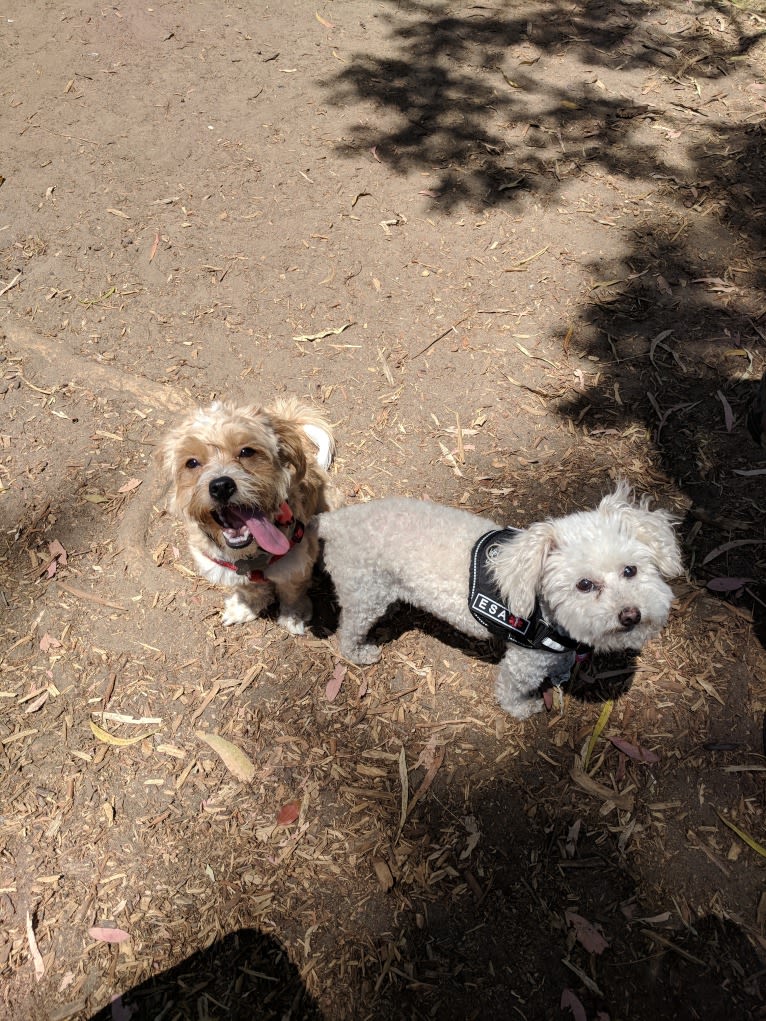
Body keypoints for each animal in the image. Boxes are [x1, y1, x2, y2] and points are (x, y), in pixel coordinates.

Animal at [318, 483, 682, 718]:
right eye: (584, 584)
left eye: (630, 570)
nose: (631, 615)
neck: (542, 608)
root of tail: (336, 521)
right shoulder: (523, 664)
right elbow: (511, 691)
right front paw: (523, 709)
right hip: (366, 595)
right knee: (347, 631)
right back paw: (360, 653)